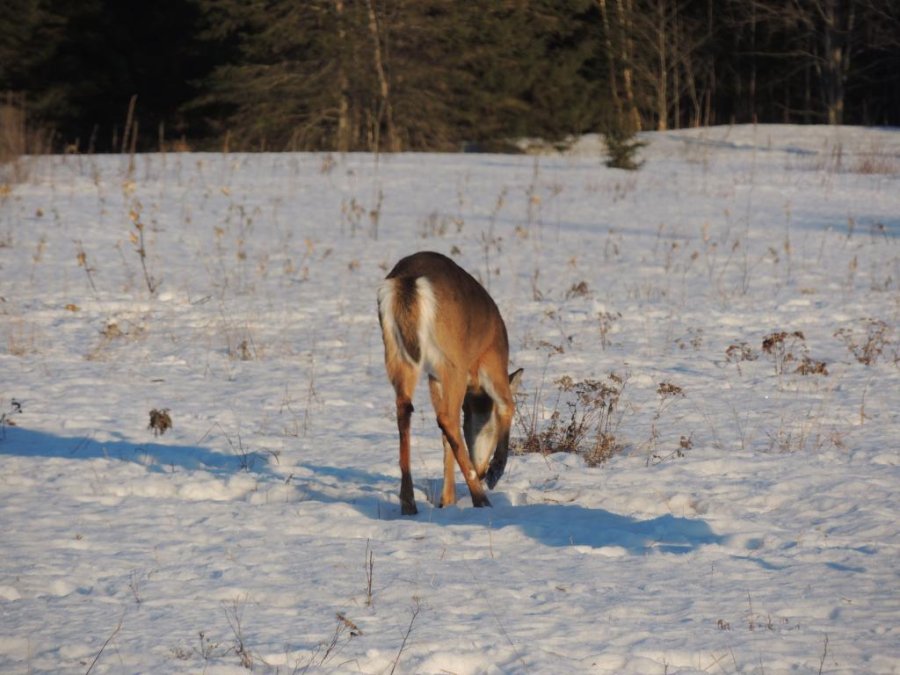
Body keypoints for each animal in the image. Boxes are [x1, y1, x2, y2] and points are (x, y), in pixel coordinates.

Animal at [377, 251, 523, 515]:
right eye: (490, 429)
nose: (483, 471)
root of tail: (409, 280)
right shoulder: (491, 359)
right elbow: (507, 404)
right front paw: (495, 472)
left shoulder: (433, 377)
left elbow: (446, 438)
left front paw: (447, 500)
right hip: (452, 361)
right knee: (447, 418)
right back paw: (481, 497)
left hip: (398, 354)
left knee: (406, 409)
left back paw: (409, 504)